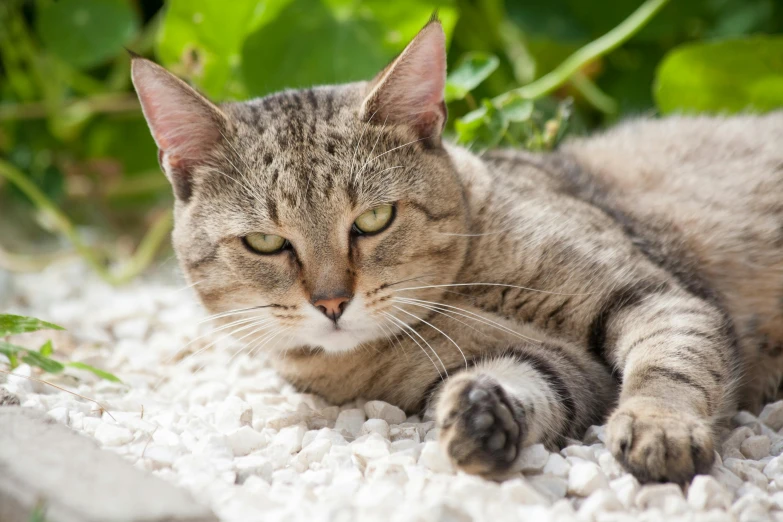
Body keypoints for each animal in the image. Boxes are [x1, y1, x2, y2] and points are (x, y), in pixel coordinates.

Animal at [132, 19, 783, 484]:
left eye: (373, 220)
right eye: (265, 242)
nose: (332, 302)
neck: (466, 286)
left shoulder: (658, 295)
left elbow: (671, 363)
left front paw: (660, 426)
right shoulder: (558, 365)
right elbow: (534, 381)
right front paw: (484, 417)